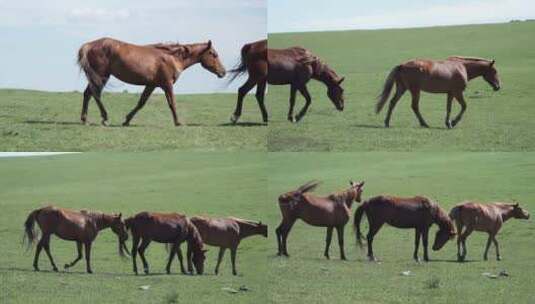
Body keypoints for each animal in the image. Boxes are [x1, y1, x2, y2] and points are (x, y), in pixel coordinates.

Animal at [77, 37, 226, 126]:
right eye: (214, 54)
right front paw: (178, 122)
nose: (223, 72)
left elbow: (141, 103)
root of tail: (89, 45)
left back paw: (85, 119)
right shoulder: (167, 84)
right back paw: (104, 118)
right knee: (95, 94)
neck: (172, 58)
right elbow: (172, 103)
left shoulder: (151, 85)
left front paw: (127, 120)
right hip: (101, 76)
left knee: (88, 94)